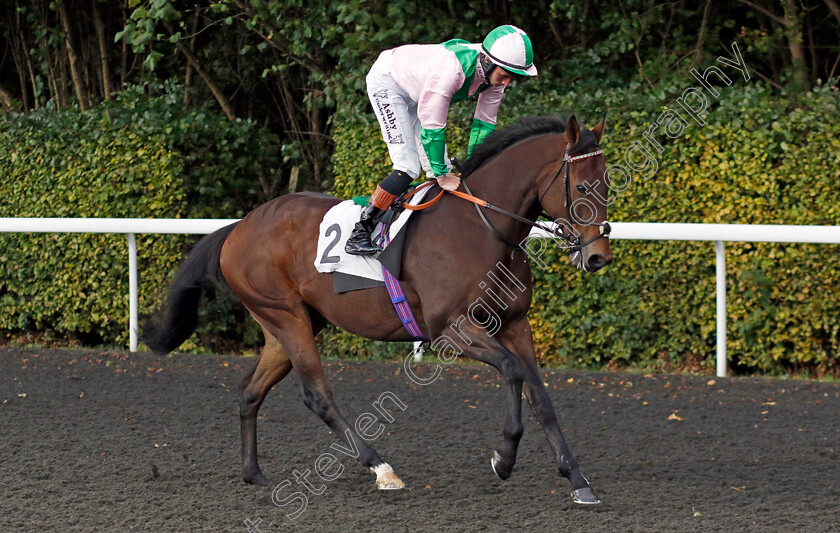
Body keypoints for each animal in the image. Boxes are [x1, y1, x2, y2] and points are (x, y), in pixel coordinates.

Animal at [144, 113, 612, 502]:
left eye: (608, 185)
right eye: (583, 187)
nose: (597, 257)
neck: (483, 229)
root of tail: (239, 226)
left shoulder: (515, 325)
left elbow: (541, 396)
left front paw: (577, 479)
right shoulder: (451, 330)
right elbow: (514, 373)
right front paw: (504, 458)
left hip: (288, 324)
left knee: (250, 391)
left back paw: (253, 473)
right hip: (287, 318)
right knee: (317, 396)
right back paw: (381, 467)